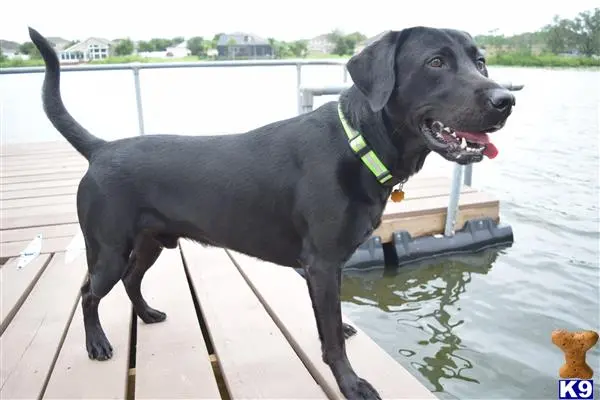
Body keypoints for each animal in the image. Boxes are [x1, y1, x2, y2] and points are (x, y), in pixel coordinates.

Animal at [29, 26, 516, 398]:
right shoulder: (321, 263)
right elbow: (332, 339)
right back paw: (97, 344)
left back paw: (147, 314)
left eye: (481, 61)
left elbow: (331, 320)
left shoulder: (331, 266)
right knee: (88, 293)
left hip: (150, 241)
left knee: (131, 279)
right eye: (436, 62)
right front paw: (351, 384)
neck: (358, 143)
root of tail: (101, 149)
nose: (505, 100)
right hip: (109, 248)